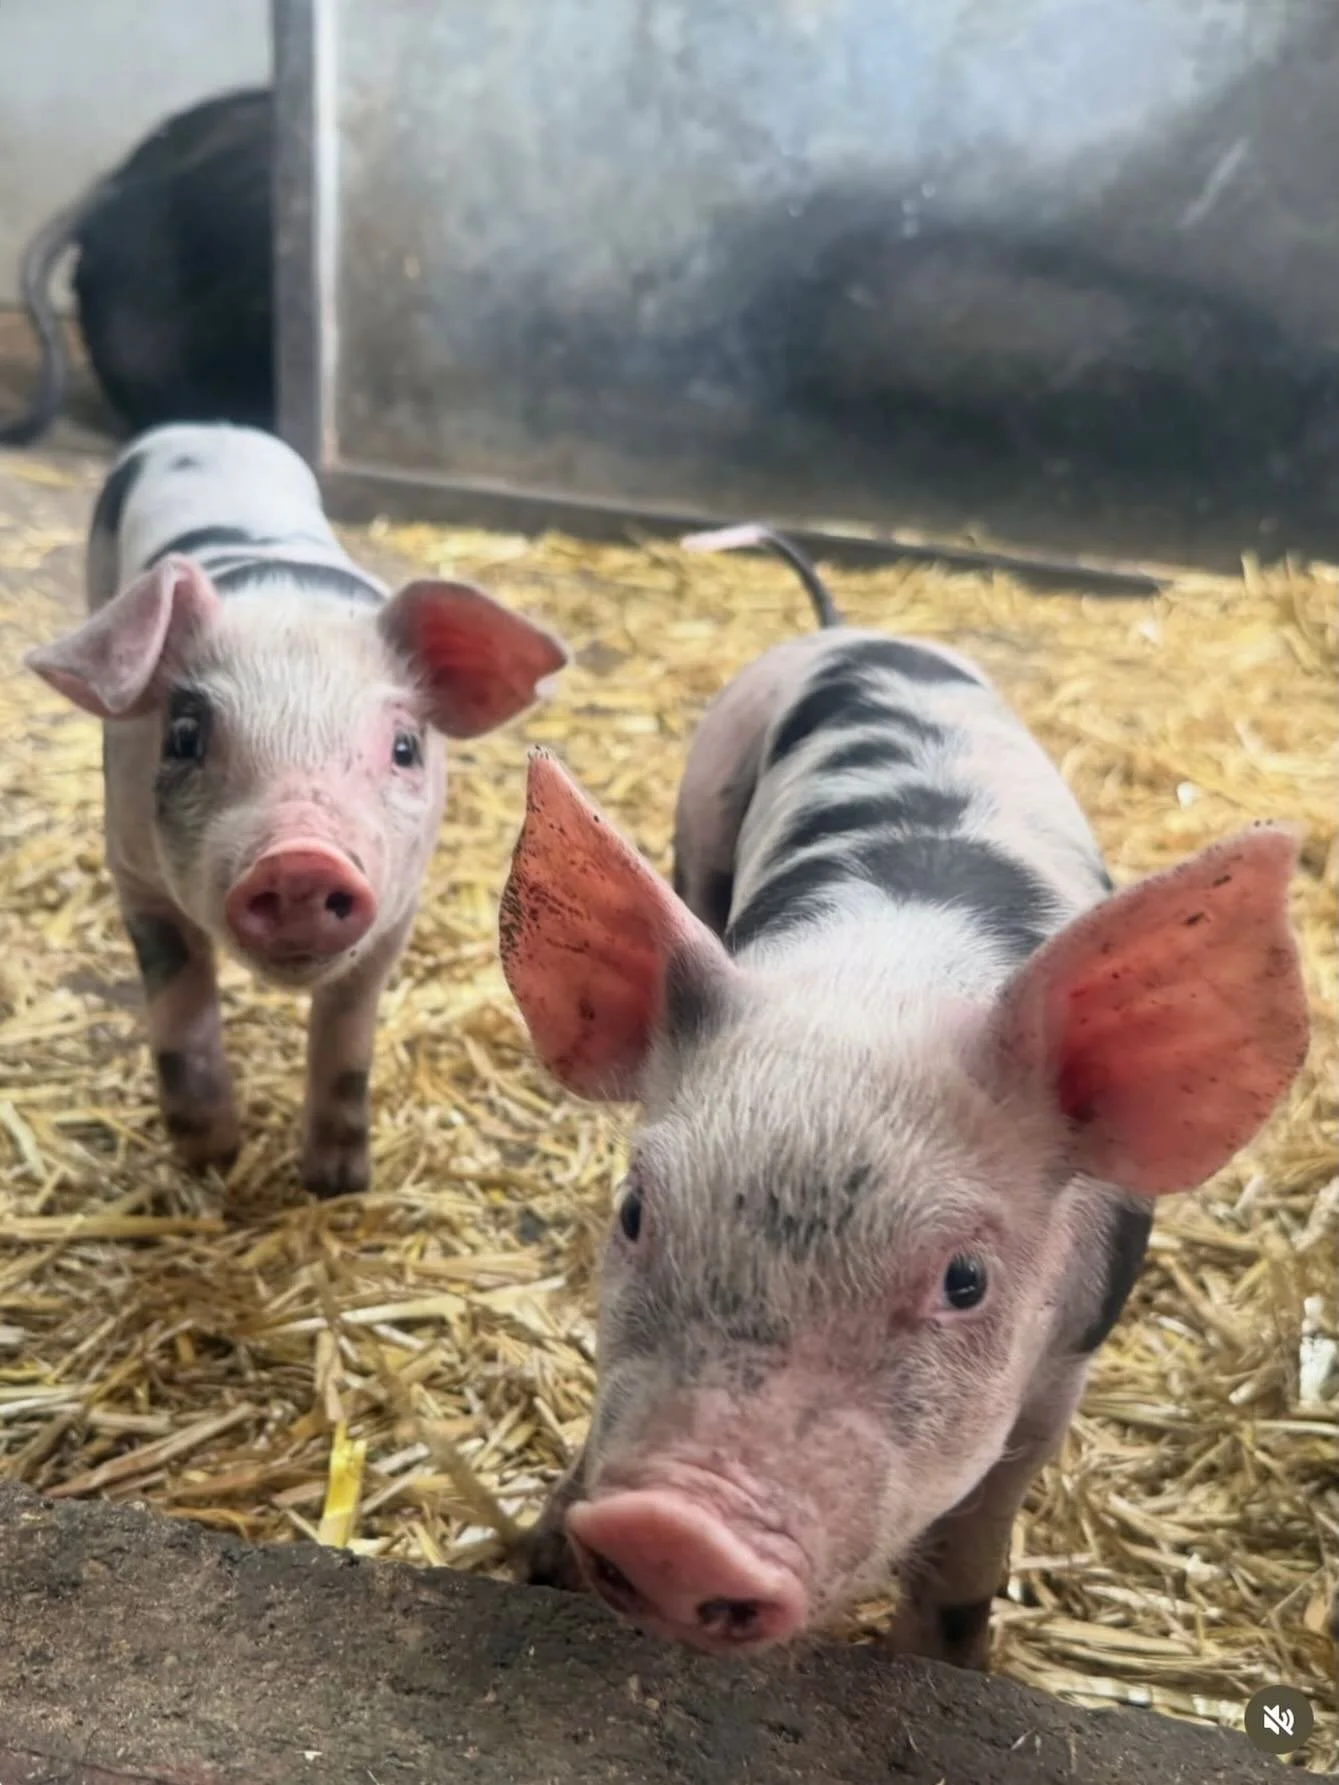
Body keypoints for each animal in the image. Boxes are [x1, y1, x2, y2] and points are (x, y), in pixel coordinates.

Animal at [26, 422, 567, 1196]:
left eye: (405, 747)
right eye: (184, 735)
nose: (301, 860)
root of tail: (205, 427)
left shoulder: (399, 905)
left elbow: (346, 1035)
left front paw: (337, 1182)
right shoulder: (132, 871)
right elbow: (181, 1013)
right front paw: (210, 1161)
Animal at [497, 524, 1309, 1667]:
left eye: (965, 1280)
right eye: (634, 1213)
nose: (673, 1531)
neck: (883, 981)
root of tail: (850, 627)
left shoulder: (1062, 1364)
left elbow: (974, 1538)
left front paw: (950, 1663)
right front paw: (538, 1559)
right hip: (702, 805)